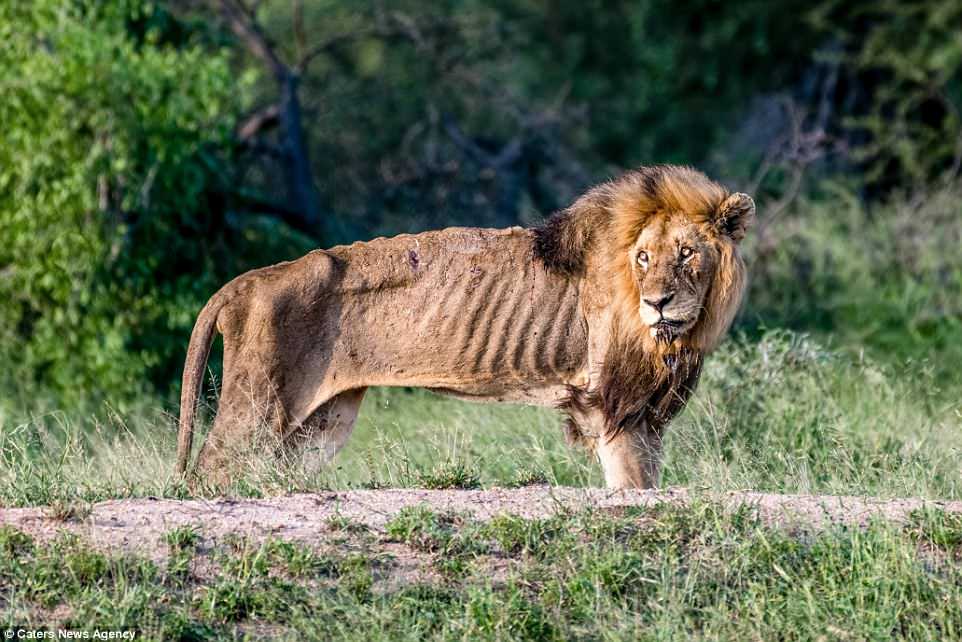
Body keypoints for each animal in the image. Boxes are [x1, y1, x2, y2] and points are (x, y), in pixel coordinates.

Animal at [176, 164, 752, 484]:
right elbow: (633, 486)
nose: (658, 302)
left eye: (686, 253)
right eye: (643, 257)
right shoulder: (614, 403)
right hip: (256, 409)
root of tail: (244, 282)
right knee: (210, 474)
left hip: (319, 425)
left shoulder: (645, 413)